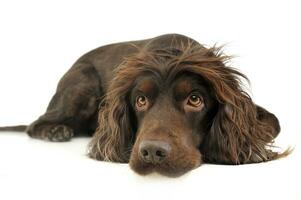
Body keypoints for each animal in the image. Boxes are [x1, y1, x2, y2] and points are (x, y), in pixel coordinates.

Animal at [0, 34, 288, 177]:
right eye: (141, 100)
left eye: (195, 99)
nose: (152, 153)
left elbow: (273, 121)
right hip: (83, 83)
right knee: (36, 123)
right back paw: (56, 131)